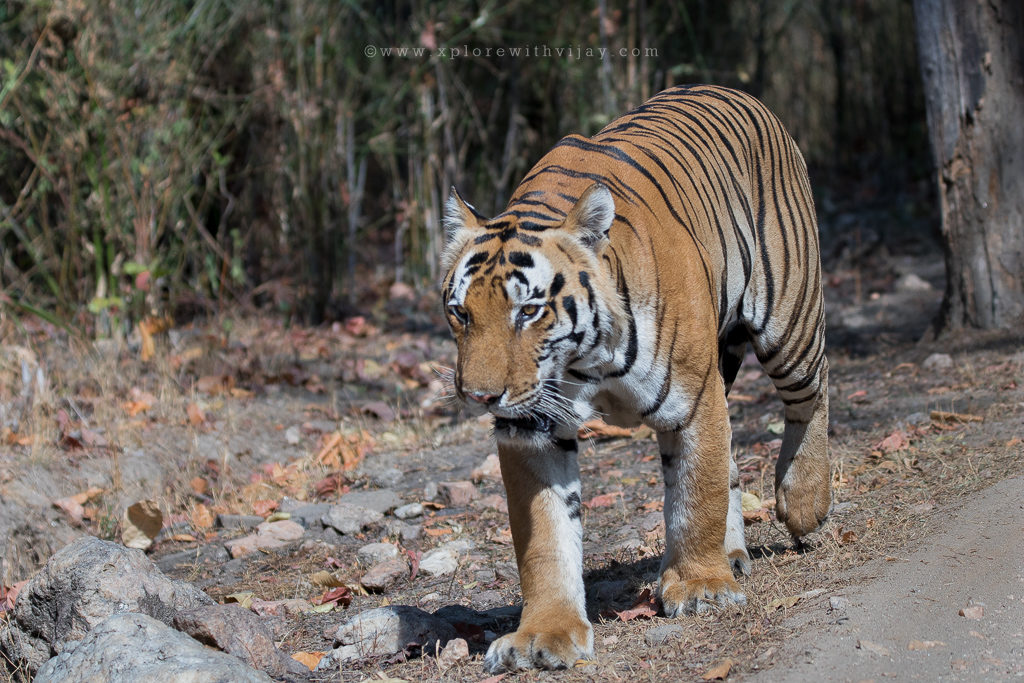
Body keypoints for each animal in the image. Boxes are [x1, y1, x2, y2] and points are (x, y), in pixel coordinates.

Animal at [440, 83, 831, 671]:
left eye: (528, 311)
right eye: (461, 314)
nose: (480, 396)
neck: (584, 359)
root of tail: (735, 91)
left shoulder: (694, 397)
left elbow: (696, 494)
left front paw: (699, 588)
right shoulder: (531, 428)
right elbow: (545, 539)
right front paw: (544, 634)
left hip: (789, 315)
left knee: (811, 393)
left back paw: (806, 503)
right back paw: (734, 553)